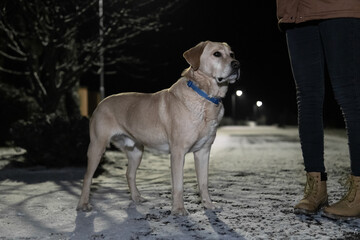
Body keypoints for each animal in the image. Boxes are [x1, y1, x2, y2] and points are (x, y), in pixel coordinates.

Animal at [77, 40, 240, 215]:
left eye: (232, 54)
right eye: (216, 54)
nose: (236, 64)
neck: (204, 96)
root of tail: (100, 103)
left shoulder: (203, 151)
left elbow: (203, 183)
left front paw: (208, 205)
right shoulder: (178, 152)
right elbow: (178, 185)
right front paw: (179, 209)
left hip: (136, 151)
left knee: (129, 174)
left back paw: (136, 197)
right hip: (97, 147)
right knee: (87, 177)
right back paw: (83, 204)